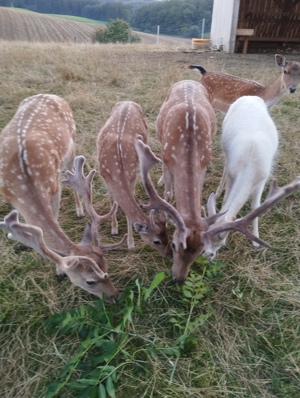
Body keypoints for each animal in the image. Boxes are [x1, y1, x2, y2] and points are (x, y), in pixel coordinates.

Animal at [0, 94, 124, 302]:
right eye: (90, 281)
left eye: (106, 266)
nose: (115, 296)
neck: (23, 187)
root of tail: (48, 95)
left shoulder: (53, 188)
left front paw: (58, 270)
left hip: (71, 144)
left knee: (71, 172)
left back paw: (80, 210)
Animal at [96, 101, 171, 258]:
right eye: (156, 241)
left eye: (167, 233)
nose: (170, 253)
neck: (117, 171)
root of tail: (128, 102)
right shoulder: (105, 177)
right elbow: (113, 201)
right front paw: (114, 228)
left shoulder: (132, 177)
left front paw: (130, 243)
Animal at [203, 95, 280, 260]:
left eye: (220, 242)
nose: (207, 256)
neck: (249, 168)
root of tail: (251, 96)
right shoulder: (233, 174)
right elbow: (227, 199)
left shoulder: (262, 179)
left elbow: (256, 207)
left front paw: (256, 241)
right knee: (225, 168)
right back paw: (217, 192)